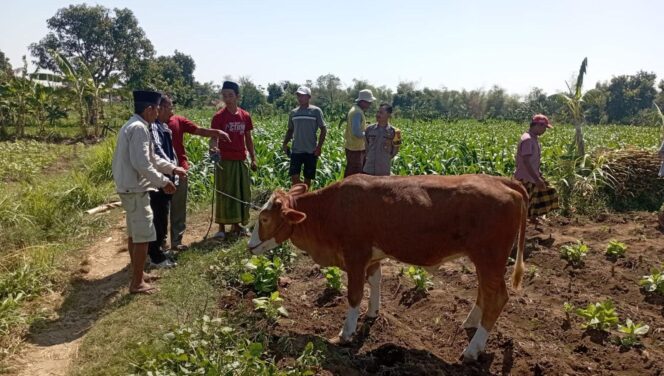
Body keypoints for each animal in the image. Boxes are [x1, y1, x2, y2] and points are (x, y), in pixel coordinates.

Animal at [246, 174, 528, 362]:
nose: (249, 246)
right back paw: (469, 323)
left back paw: (472, 349)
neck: (331, 210)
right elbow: (375, 281)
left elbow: (354, 294)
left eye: (264, 218)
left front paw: (345, 333)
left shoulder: (355, 254)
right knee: (485, 293)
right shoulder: (371, 258)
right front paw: (372, 312)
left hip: (490, 258)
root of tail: (503, 181)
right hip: (484, 261)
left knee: (497, 298)